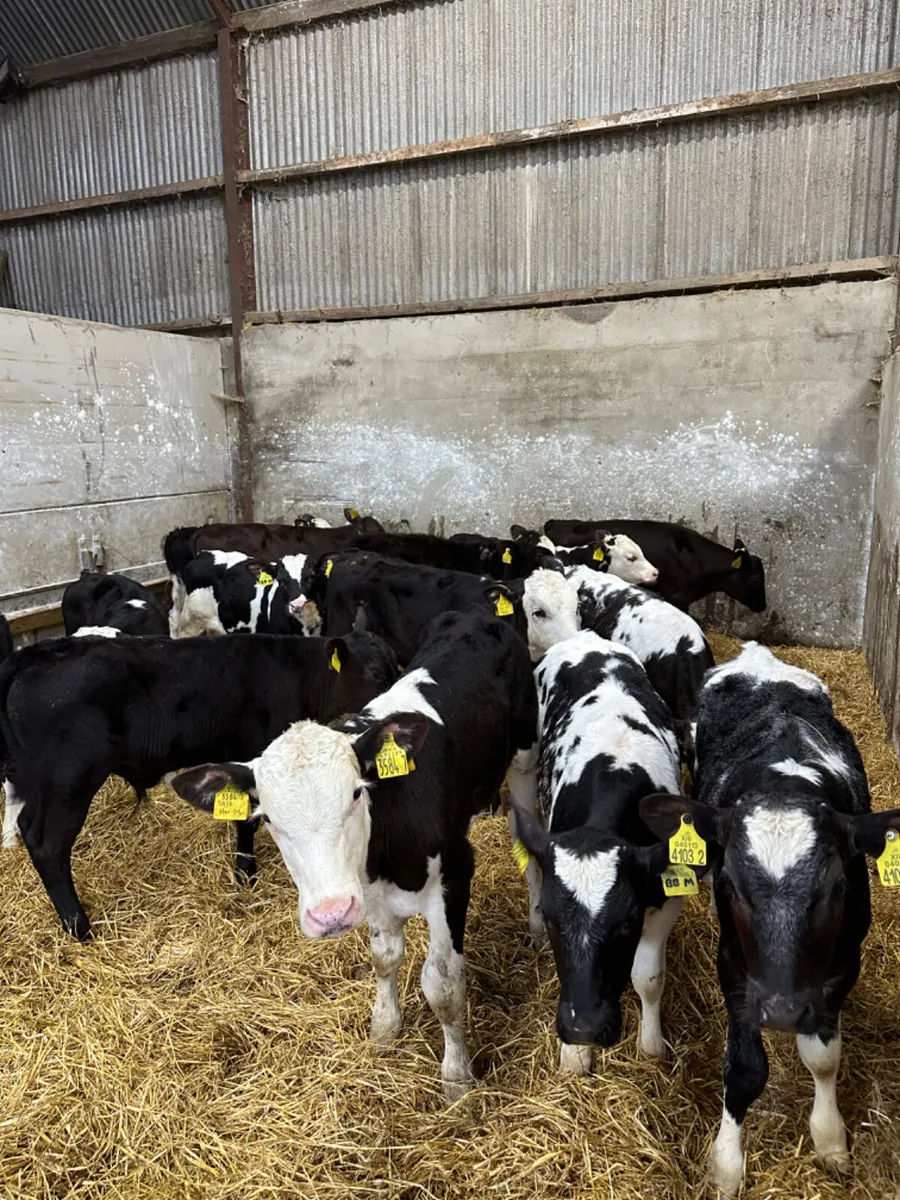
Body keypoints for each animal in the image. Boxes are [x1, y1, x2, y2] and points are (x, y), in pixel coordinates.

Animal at [0, 630, 399, 940]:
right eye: (376, 671)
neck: (293, 672)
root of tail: (33, 655)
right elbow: (245, 821)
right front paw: (244, 872)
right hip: (70, 780)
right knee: (47, 843)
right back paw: (79, 926)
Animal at [172, 609, 538, 1100]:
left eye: (356, 793)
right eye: (268, 819)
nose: (331, 913)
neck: (384, 847)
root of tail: (477, 614)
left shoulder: (455, 873)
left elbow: (442, 985)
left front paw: (457, 1079)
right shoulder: (371, 893)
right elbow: (384, 957)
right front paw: (384, 1030)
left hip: (525, 757)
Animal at [512, 631, 683, 1075]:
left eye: (627, 924)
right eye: (554, 919)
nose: (585, 1027)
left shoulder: (666, 890)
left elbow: (648, 975)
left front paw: (651, 1045)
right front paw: (574, 1057)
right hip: (524, 767)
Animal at [639, 641, 900, 1194]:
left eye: (836, 887)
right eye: (731, 883)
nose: (781, 1010)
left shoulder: (845, 962)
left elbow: (823, 1056)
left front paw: (830, 1138)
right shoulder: (733, 962)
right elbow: (743, 1068)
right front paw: (726, 1164)